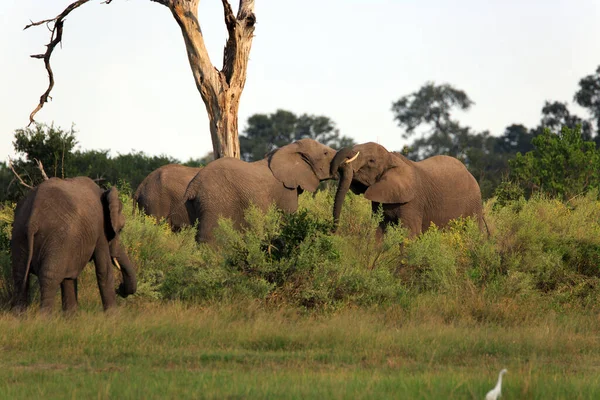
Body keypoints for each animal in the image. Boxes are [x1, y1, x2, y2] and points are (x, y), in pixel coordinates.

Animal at [11, 177, 137, 312]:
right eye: (120, 229)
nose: (120, 288)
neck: (104, 192)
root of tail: (33, 219)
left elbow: (69, 276)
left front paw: (71, 315)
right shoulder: (100, 231)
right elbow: (104, 270)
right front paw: (114, 315)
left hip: (19, 234)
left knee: (19, 275)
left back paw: (19, 315)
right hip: (57, 238)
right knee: (49, 276)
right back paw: (44, 317)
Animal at [185, 139, 338, 242]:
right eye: (325, 153)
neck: (287, 148)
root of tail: (193, 187)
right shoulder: (285, 190)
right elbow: (287, 218)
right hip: (213, 201)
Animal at [330, 143, 486, 238]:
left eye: (371, 161)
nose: (331, 232)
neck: (392, 158)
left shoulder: (414, 202)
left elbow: (409, 234)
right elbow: (378, 230)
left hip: (474, 204)